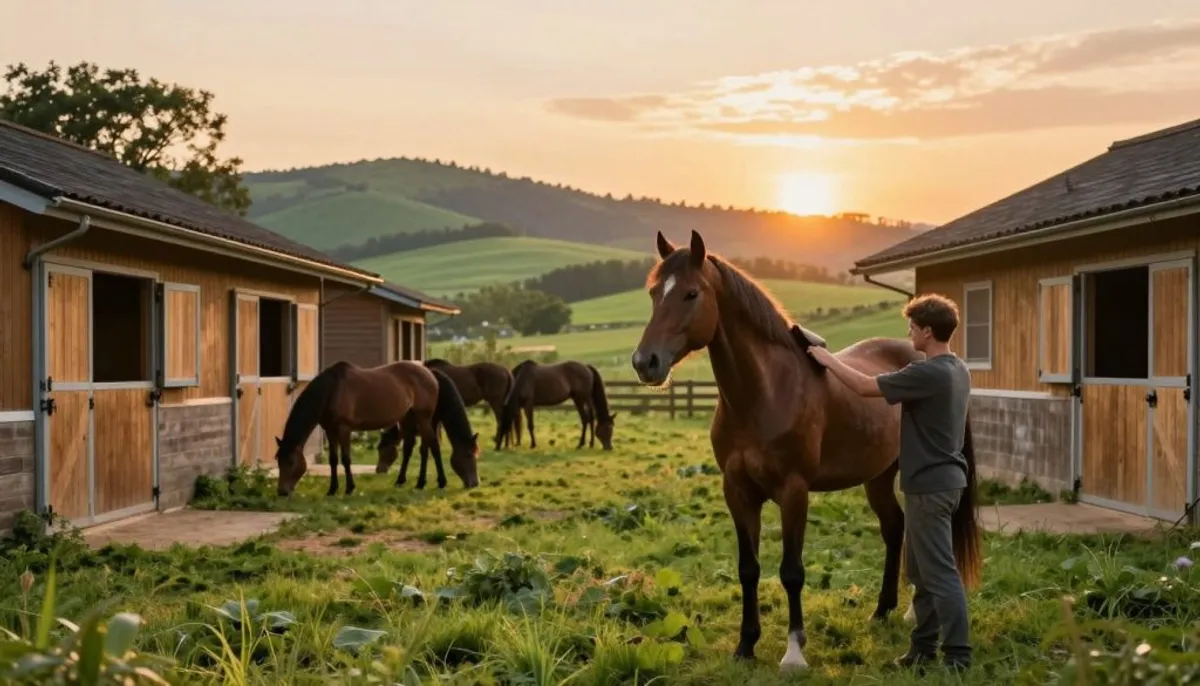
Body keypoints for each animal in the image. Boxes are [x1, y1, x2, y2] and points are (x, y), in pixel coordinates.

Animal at [273, 360, 480, 497]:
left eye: (290, 462)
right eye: (278, 461)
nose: (282, 491)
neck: (331, 390)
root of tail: (429, 373)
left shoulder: (344, 429)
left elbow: (346, 459)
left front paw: (349, 488)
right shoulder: (330, 430)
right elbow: (333, 460)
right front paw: (332, 489)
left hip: (424, 417)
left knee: (432, 445)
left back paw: (436, 482)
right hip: (408, 417)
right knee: (413, 447)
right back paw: (406, 481)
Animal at [629, 230, 981, 672]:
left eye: (691, 293)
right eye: (654, 292)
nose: (645, 362)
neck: (763, 394)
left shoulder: (793, 492)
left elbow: (791, 571)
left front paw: (794, 652)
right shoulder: (737, 492)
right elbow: (748, 568)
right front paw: (746, 645)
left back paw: (908, 612)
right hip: (878, 477)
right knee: (895, 527)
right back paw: (884, 609)